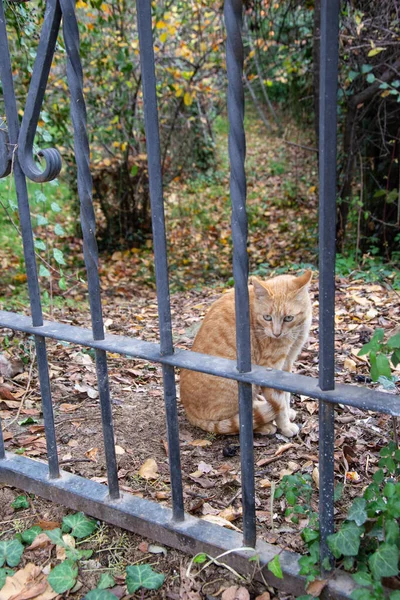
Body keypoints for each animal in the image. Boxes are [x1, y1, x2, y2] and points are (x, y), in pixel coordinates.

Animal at [179, 270, 312, 436]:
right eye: (267, 317)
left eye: (288, 318)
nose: (276, 334)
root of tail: (188, 411)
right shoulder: (271, 366)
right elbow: (279, 404)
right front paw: (285, 425)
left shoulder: (287, 363)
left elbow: (286, 396)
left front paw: (288, 413)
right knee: (240, 422)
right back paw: (265, 425)